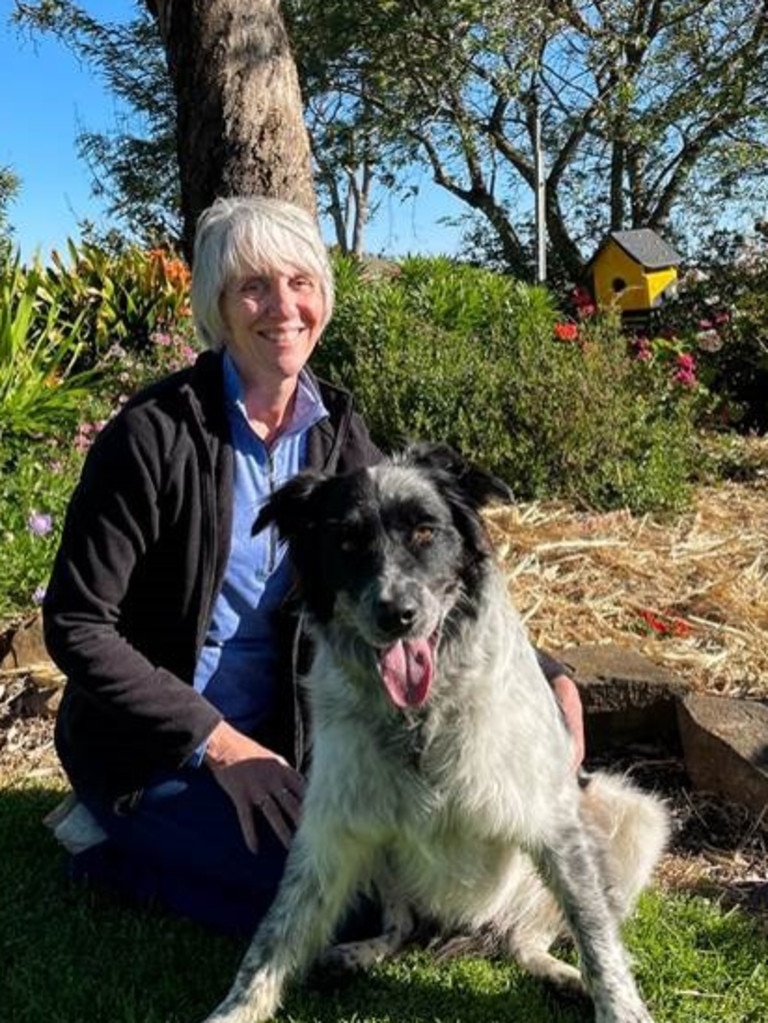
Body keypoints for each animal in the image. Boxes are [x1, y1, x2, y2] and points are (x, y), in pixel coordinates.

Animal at [201, 446, 670, 1023]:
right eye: (347, 541)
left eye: (426, 532)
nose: (397, 615)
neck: (420, 721)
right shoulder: (332, 830)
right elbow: (273, 939)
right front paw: (234, 1011)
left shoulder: (556, 827)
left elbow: (598, 941)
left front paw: (620, 1008)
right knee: (404, 927)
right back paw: (354, 955)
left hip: (636, 819)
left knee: (526, 939)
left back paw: (563, 975)